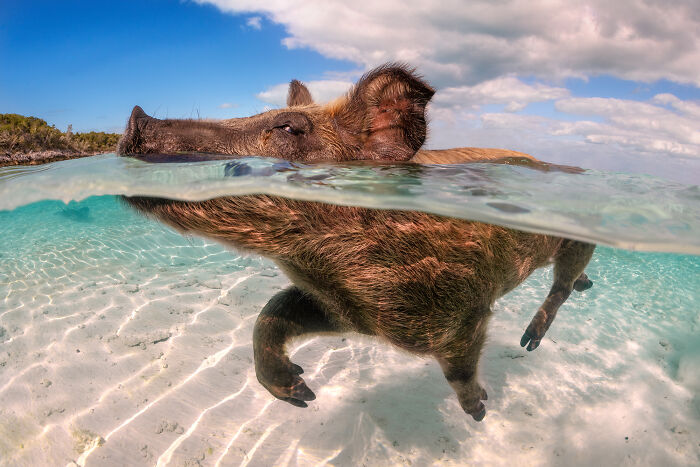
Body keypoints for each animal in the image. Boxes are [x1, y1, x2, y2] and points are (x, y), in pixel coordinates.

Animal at [118, 64, 595, 421]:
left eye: (289, 127)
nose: (138, 117)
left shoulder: (467, 307)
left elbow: (460, 367)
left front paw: (478, 412)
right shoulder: (341, 311)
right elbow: (269, 313)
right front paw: (301, 396)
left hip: (579, 240)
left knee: (561, 285)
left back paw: (529, 342)